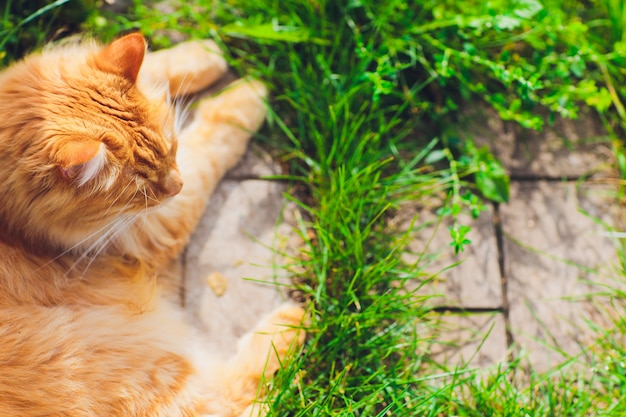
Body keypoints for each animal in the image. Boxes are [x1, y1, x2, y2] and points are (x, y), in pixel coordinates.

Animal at [0, 33, 304, 416]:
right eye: (142, 193)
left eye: (172, 148)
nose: (178, 186)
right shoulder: (146, 228)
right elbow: (214, 140)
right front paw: (251, 92)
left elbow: (159, 65)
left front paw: (205, 52)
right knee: (236, 397)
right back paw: (294, 321)